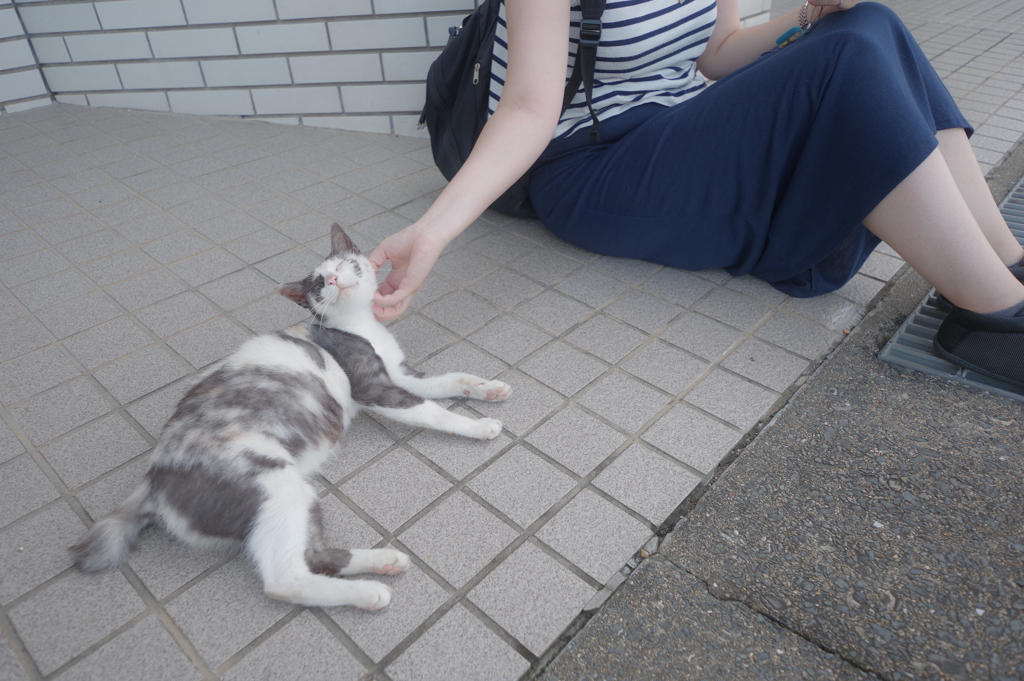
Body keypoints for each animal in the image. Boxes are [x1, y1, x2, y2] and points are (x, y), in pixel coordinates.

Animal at [70, 224, 509, 610]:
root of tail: (152, 481)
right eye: (317, 284)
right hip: (273, 483)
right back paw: (366, 593)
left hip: (299, 491)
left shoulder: (400, 374)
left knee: (313, 556)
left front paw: (488, 388)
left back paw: (380, 561)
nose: (333, 279)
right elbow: (432, 411)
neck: (361, 326)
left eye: (342, 264)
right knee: (285, 580)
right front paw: (477, 426)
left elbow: (450, 379)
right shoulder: (375, 387)